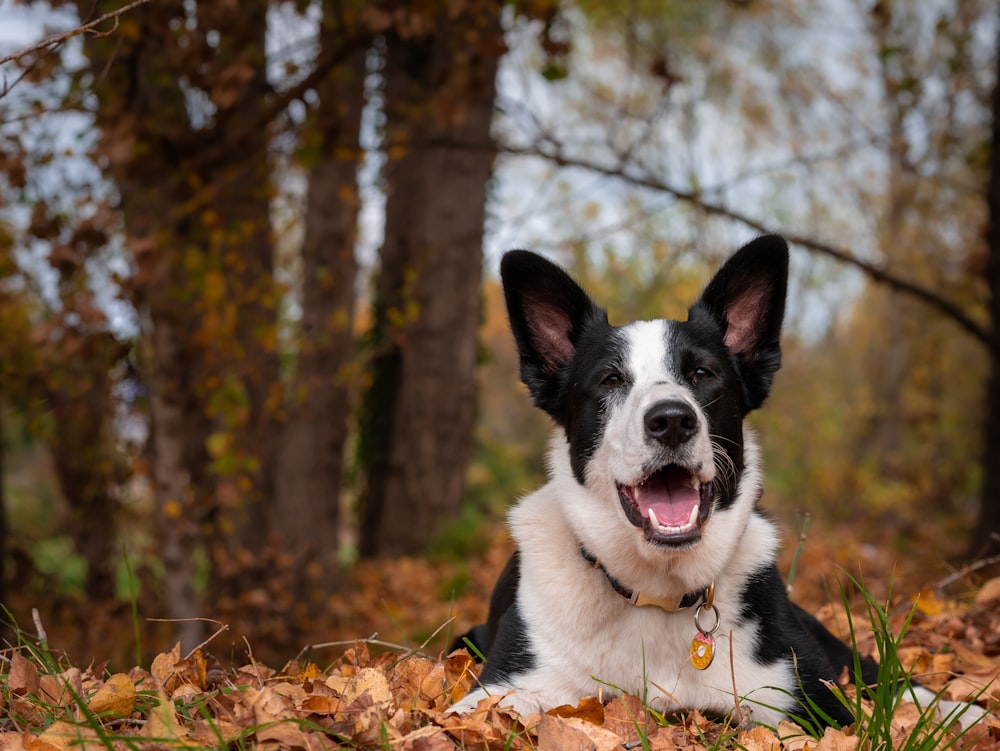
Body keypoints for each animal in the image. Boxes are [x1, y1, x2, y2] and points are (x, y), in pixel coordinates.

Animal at [452, 236, 984, 728]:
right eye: (609, 380)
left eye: (703, 373)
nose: (671, 421)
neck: (659, 593)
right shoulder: (504, 688)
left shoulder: (810, 695)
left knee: (884, 677)